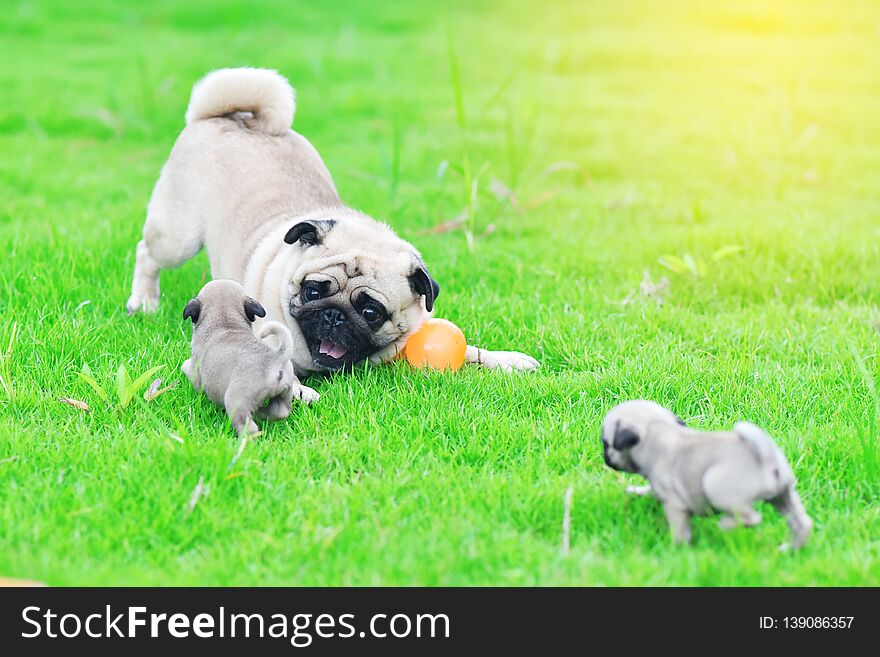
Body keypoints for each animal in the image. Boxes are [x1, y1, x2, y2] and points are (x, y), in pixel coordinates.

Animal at [124, 66, 536, 392]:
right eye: (313, 292)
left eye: (371, 312)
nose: (334, 315)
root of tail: (223, 117)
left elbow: (470, 351)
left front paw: (507, 360)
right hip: (177, 237)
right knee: (147, 254)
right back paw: (143, 301)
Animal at [180, 278, 318, 436]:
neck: (225, 322)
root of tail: (275, 358)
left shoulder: (195, 373)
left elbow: (187, 368)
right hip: (285, 392)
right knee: (280, 411)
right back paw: (262, 412)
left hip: (236, 401)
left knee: (248, 427)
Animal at [600, 400, 816, 548]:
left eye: (606, 444)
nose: (606, 458)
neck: (658, 431)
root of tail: (766, 458)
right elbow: (649, 489)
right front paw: (635, 491)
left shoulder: (674, 503)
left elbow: (679, 528)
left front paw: (676, 548)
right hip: (784, 495)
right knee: (801, 523)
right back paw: (789, 549)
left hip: (717, 489)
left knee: (751, 517)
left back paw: (726, 524)